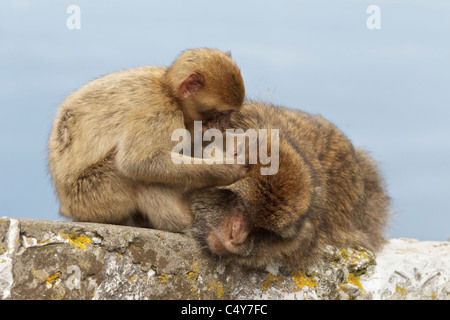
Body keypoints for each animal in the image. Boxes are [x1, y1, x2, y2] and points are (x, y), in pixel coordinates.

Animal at [46, 48, 246, 232]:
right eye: (221, 113)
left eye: (230, 114)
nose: (224, 126)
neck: (170, 93)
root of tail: (66, 206)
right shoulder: (160, 112)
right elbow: (139, 162)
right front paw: (227, 169)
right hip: (92, 195)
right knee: (136, 174)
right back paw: (182, 222)